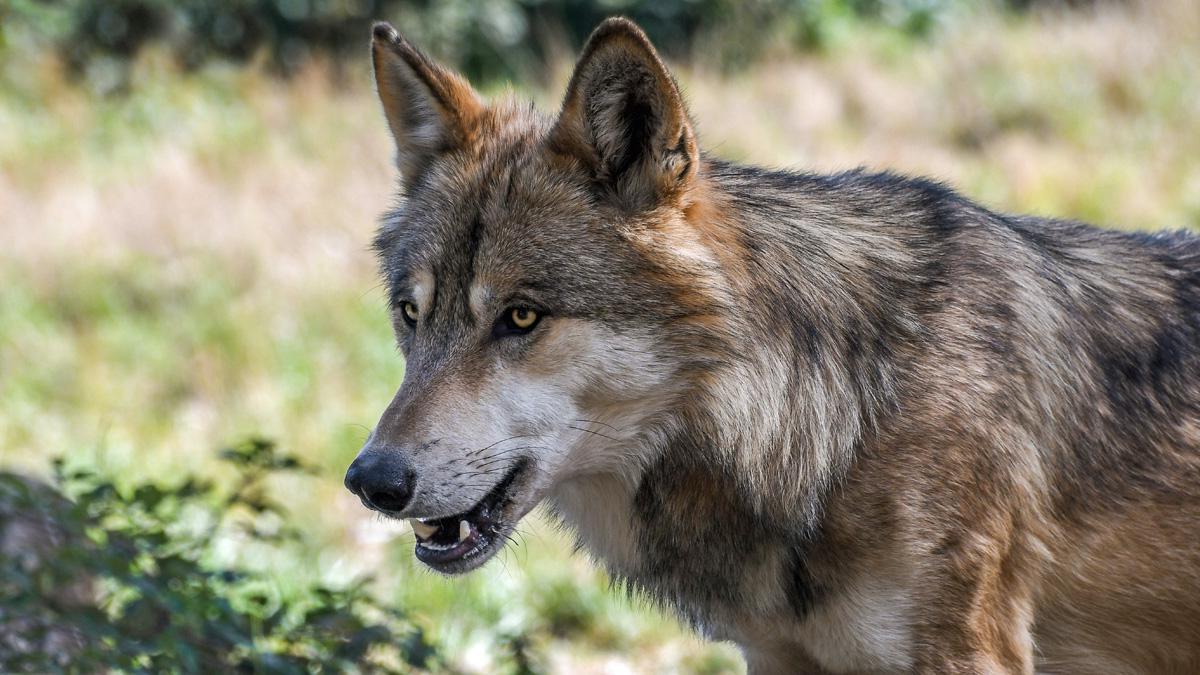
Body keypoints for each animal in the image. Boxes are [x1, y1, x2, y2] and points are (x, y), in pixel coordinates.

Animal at [343, 17, 1200, 673]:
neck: (840, 417)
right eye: (411, 314)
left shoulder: (970, 652)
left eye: (521, 317)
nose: (371, 479)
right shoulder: (778, 656)